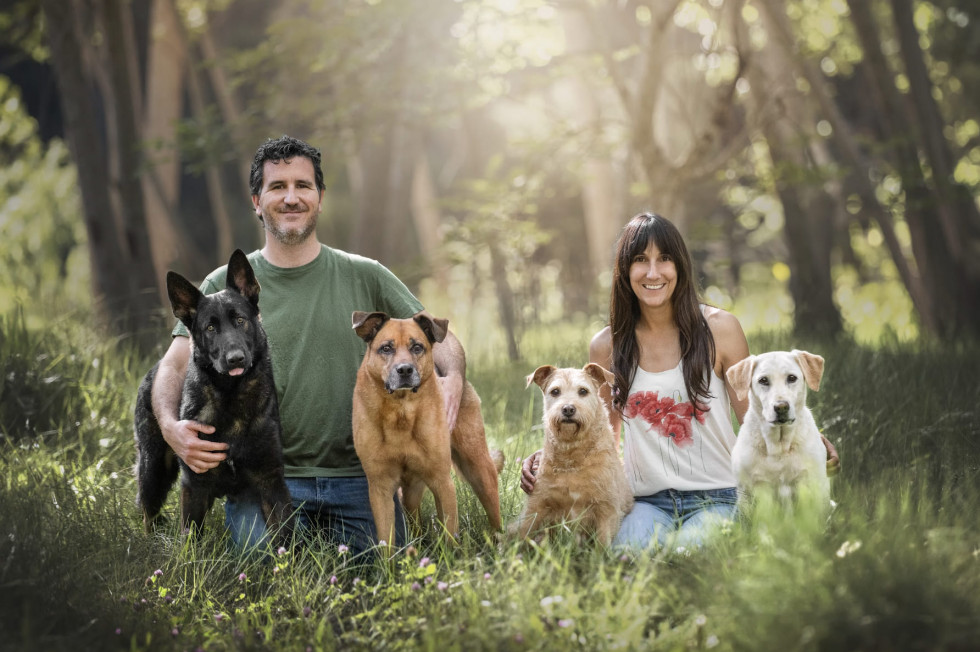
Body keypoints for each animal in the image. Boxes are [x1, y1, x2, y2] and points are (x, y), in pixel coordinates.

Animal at [136, 250, 292, 544]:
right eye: (210, 328)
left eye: (240, 320)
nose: (235, 359)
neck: (231, 396)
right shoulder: (195, 486)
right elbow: (190, 544)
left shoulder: (271, 481)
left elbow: (287, 540)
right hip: (153, 471)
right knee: (148, 514)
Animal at [354, 310, 506, 544]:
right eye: (386, 348)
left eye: (417, 347)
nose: (405, 370)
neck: (401, 412)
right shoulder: (381, 488)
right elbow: (386, 542)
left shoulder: (441, 482)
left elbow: (450, 537)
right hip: (410, 492)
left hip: (479, 471)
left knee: (494, 515)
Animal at [510, 362, 632, 544]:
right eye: (555, 391)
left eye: (583, 391)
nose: (568, 409)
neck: (572, 454)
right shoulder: (537, 504)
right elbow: (522, 533)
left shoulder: (606, 509)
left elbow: (602, 544)